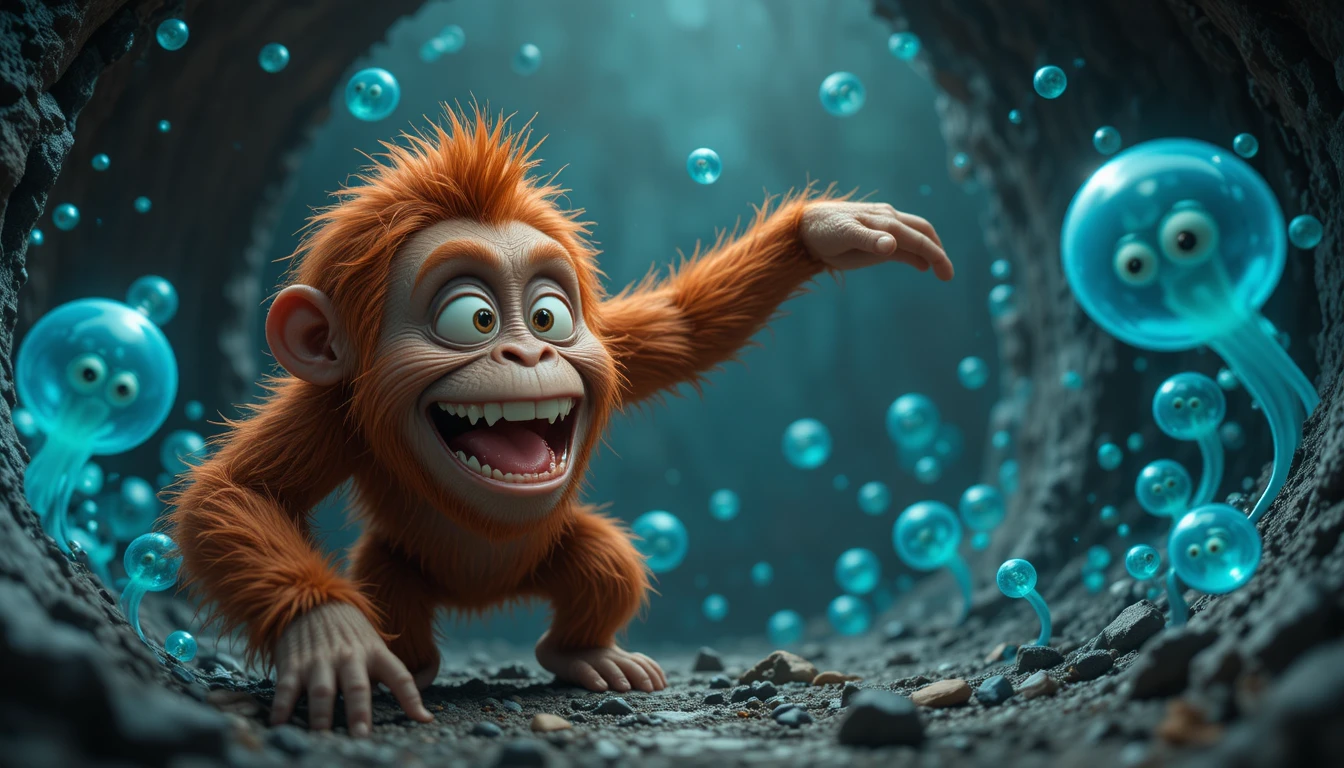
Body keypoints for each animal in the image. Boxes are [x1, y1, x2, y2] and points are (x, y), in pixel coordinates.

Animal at [167, 105, 952, 737]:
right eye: (474, 319)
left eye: (549, 315)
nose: (529, 350)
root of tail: (485, 598)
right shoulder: (330, 412)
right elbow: (239, 492)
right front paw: (331, 637)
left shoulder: (613, 346)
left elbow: (685, 329)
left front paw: (829, 229)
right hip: (398, 570)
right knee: (391, 597)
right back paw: (407, 664)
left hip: (561, 556)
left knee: (607, 563)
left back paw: (582, 654)